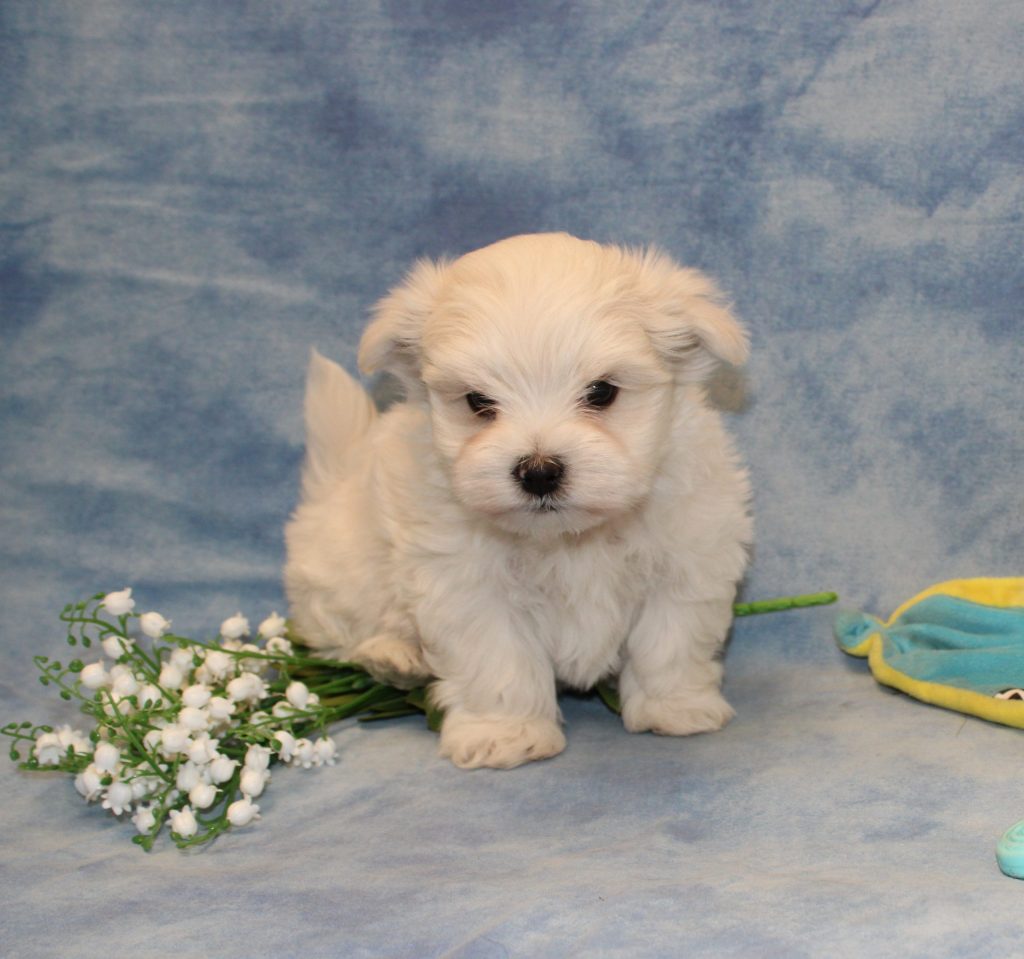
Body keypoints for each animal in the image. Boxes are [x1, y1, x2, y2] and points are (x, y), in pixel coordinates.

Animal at [284, 232, 752, 769]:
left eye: (602, 392)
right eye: (477, 401)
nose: (539, 471)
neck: (568, 536)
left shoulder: (690, 555)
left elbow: (669, 640)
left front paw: (675, 707)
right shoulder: (468, 586)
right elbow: (498, 661)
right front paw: (505, 734)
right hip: (347, 566)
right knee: (336, 633)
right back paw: (394, 655)